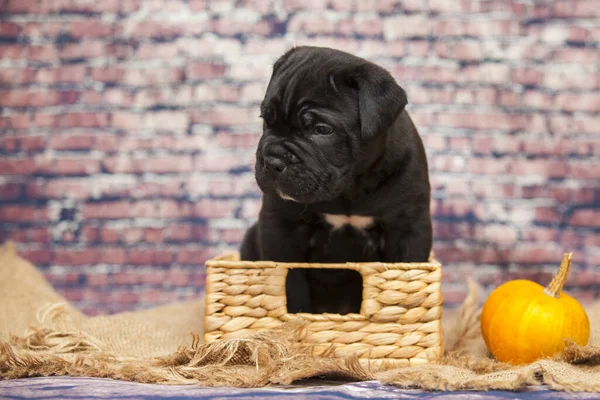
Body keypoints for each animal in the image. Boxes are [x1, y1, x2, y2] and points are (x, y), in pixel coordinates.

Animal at [241, 46, 434, 316]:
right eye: (265, 119)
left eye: (322, 130)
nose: (273, 160)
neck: (350, 191)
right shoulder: (281, 226)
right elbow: (291, 281)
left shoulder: (408, 227)